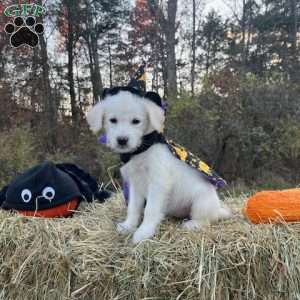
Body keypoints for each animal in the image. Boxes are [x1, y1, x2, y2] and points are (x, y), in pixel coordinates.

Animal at [86, 89, 230, 244]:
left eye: (136, 121)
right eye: (113, 120)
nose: (122, 140)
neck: (141, 151)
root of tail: (217, 210)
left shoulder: (158, 184)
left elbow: (150, 209)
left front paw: (144, 232)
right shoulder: (135, 185)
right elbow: (133, 208)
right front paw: (128, 226)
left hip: (201, 203)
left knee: (205, 220)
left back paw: (192, 224)